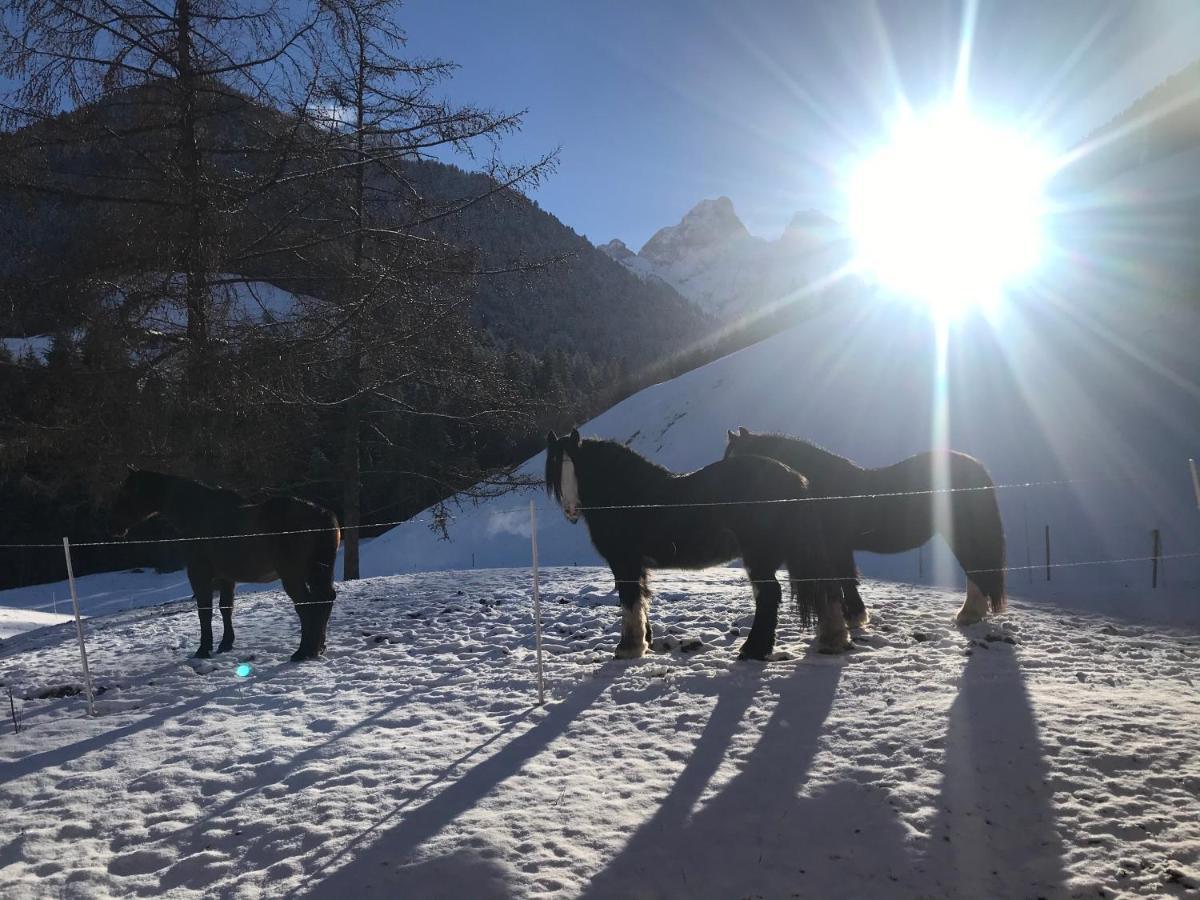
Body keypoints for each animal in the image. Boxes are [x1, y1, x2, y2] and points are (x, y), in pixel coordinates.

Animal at [112, 472, 343, 662]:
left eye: (125, 495)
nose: (115, 528)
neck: (199, 514)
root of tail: (321, 513)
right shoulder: (226, 578)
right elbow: (226, 608)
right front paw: (225, 644)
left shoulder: (199, 575)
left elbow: (204, 611)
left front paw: (203, 649)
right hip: (317, 571)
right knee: (324, 599)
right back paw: (318, 648)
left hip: (292, 574)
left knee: (306, 604)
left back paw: (303, 651)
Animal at [544, 429, 844, 657]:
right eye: (557, 469)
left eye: (579, 468)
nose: (571, 510)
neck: (629, 497)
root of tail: (794, 478)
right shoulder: (638, 565)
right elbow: (642, 599)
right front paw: (645, 641)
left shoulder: (624, 562)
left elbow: (629, 600)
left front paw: (628, 648)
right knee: (821, 587)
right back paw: (833, 641)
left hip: (759, 556)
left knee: (770, 594)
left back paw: (753, 649)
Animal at [724, 427, 1008, 628]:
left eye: (734, 460)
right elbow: (845, 578)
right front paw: (853, 615)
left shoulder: (837, 546)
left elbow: (846, 578)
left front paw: (855, 617)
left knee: (975, 567)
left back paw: (968, 614)